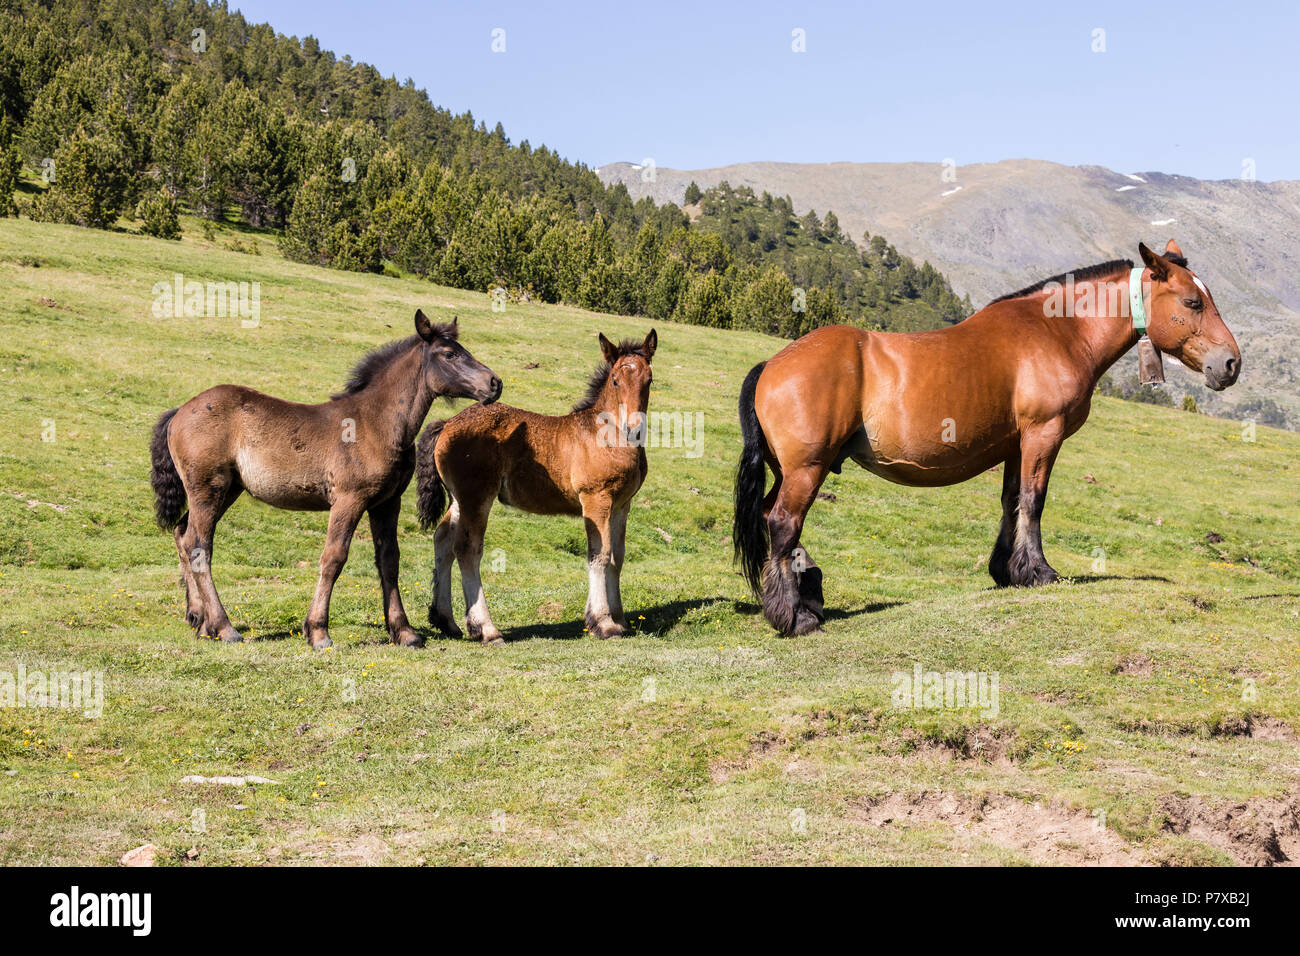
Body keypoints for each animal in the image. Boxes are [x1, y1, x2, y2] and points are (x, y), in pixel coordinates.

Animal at [150, 310, 502, 650]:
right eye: (450, 354)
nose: (494, 382)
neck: (374, 424)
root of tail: (179, 412)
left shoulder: (387, 502)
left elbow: (389, 561)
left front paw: (404, 633)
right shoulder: (349, 500)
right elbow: (333, 558)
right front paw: (318, 632)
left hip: (228, 489)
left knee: (182, 533)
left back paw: (200, 620)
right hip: (208, 487)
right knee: (199, 545)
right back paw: (224, 627)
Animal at [415, 330, 657, 644]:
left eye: (649, 380)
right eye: (615, 380)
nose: (634, 426)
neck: (606, 433)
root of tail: (446, 424)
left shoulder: (622, 504)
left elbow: (617, 557)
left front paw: (619, 619)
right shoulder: (596, 499)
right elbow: (599, 555)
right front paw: (603, 623)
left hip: (459, 498)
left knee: (443, 540)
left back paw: (446, 620)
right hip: (476, 495)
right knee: (467, 549)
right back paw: (486, 628)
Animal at [733, 240, 1241, 636]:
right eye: (1193, 303)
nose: (1231, 363)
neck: (1057, 330)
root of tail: (772, 365)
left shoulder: (1017, 444)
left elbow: (1011, 501)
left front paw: (1008, 570)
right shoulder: (1043, 434)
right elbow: (1034, 501)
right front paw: (1039, 572)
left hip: (790, 470)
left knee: (770, 518)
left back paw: (806, 593)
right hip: (807, 469)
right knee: (784, 523)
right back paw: (794, 616)